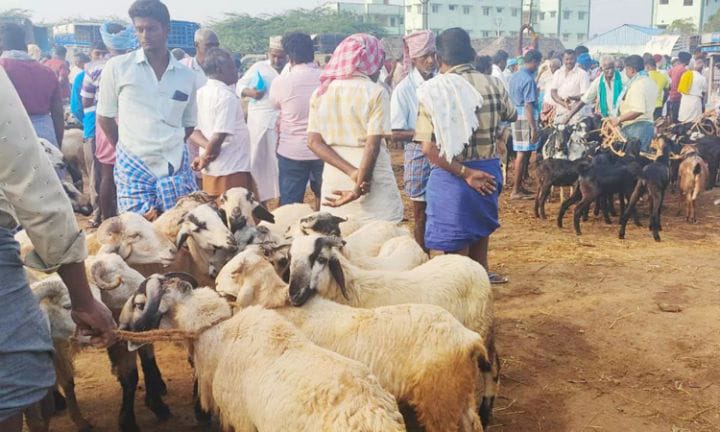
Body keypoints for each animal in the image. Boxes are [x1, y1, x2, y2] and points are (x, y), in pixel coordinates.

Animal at [214, 246, 484, 432]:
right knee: (473, 423)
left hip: (439, 398)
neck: (281, 306)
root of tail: (468, 338)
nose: (214, 283)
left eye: (233, 271)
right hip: (458, 392)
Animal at [286, 235, 500, 426]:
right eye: (290, 259)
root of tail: (469, 262)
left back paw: (486, 410)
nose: (294, 295)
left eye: (321, 259)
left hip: (482, 325)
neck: (354, 289)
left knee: (492, 367)